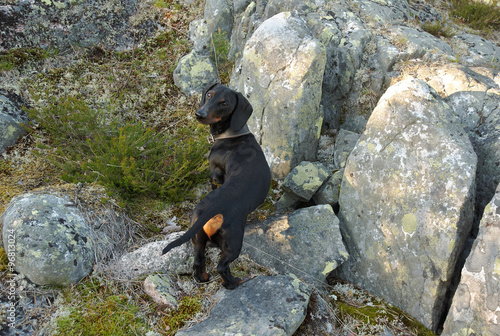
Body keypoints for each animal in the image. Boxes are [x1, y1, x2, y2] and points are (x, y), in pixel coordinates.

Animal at [161, 83, 272, 288]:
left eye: (224, 103)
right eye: (209, 95)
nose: (199, 114)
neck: (233, 134)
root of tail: (213, 210)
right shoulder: (215, 176)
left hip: (198, 238)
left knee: (198, 261)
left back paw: (203, 278)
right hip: (234, 243)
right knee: (222, 267)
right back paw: (234, 283)